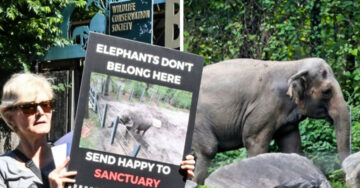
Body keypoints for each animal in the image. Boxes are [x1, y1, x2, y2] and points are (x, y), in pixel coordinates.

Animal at [193, 57, 350, 184]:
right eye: (327, 91)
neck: (294, 65)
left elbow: (291, 146)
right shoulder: (264, 107)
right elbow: (255, 142)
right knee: (208, 150)